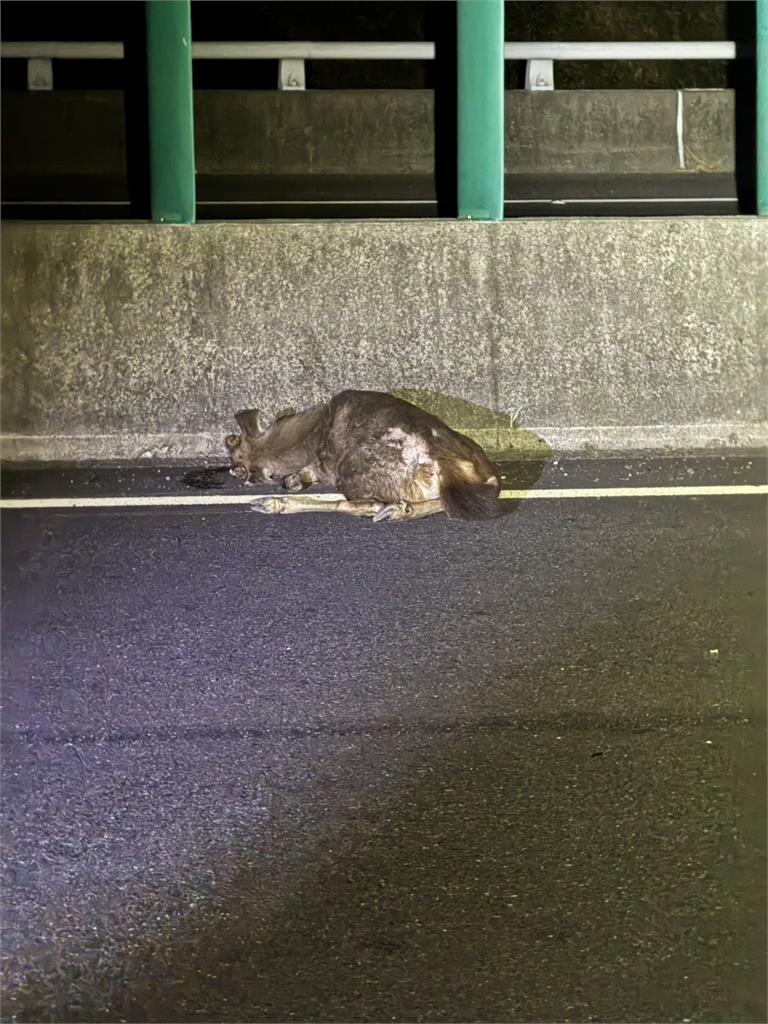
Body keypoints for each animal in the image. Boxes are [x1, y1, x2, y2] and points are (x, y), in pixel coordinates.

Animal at [225, 390, 503, 523]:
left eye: (236, 457)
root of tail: (444, 461)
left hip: (354, 474)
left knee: (360, 504)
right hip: (481, 465)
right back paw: (402, 510)